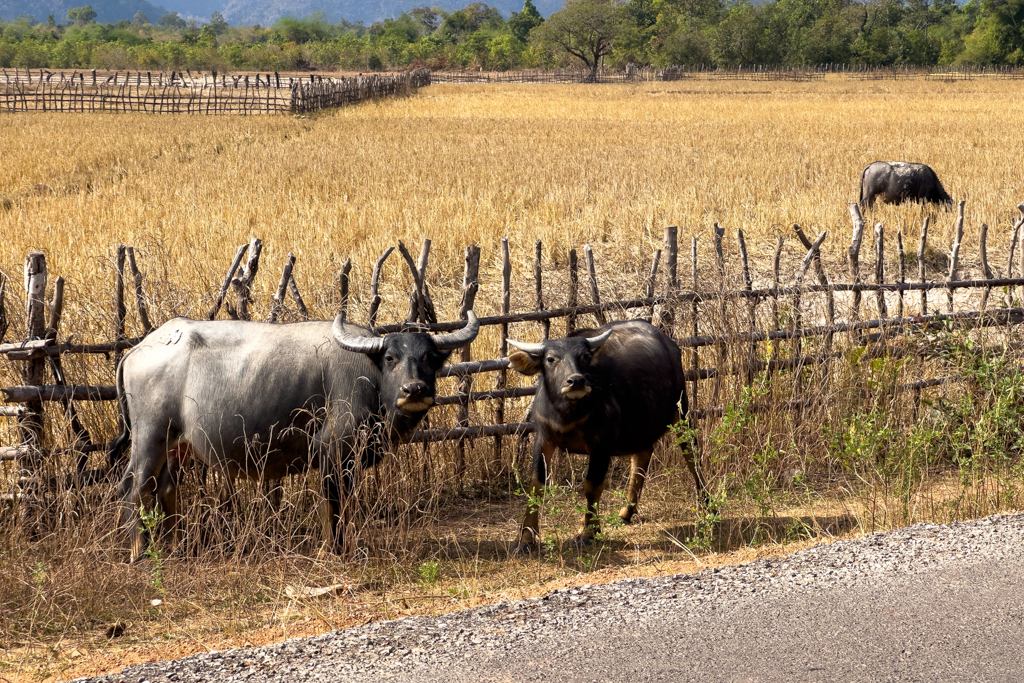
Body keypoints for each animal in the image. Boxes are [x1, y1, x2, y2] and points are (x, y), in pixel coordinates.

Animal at [111, 315, 479, 561]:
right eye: (391, 358)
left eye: (430, 358)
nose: (414, 389)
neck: (369, 377)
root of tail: (137, 350)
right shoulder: (332, 452)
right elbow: (333, 502)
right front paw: (334, 549)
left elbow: (345, 502)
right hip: (149, 436)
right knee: (134, 487)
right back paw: (140, 552)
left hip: (178, 445)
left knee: (165, 486)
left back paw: (175, 546)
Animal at [507, 321, 708, 557]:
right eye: (550, 359)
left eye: (584, 356)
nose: (576, 381)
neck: (568, 414)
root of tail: (670, 345)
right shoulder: (544, 439)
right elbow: (536, 485)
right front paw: (525, 539)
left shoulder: (601, 445)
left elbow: (592, 486)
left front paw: (588, 532)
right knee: (643, 455)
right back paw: (626, 512)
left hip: (681, 412)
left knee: (692, 456)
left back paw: (707, 505)